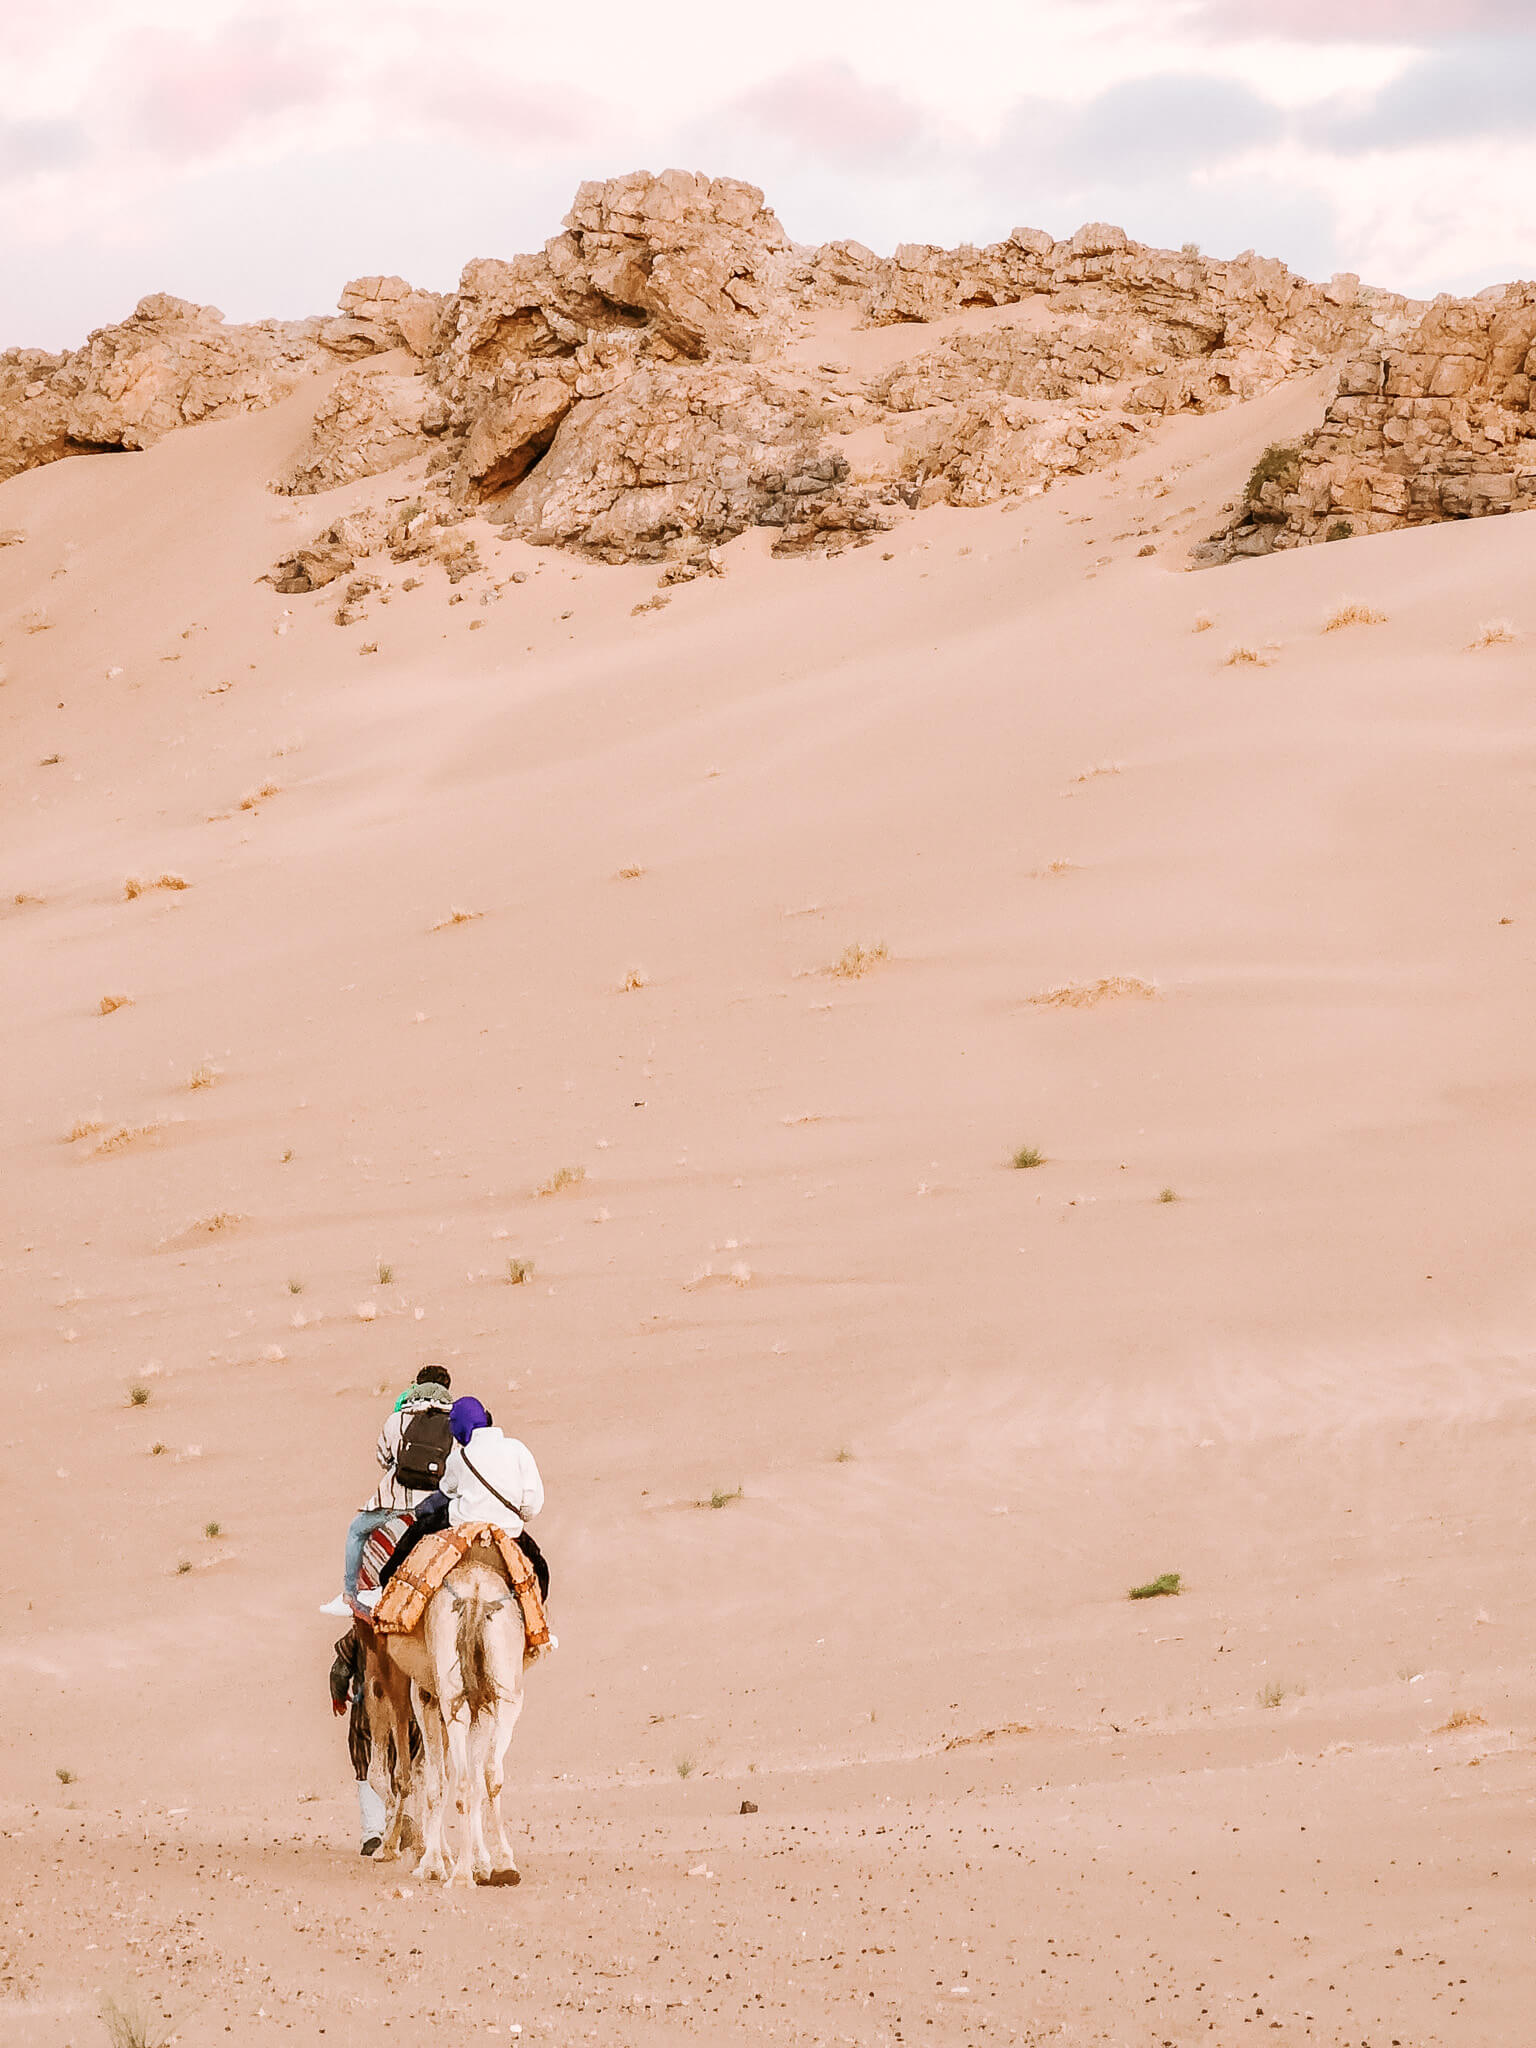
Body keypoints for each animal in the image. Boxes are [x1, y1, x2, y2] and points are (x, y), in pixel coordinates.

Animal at [364, 1540, 532, 1875]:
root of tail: (476, 1596)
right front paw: (471, 1861)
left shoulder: (414, 1690)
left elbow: (415, 1775)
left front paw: (418, 1855)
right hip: (504, 1694)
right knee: (488, 1773)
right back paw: (501, 1864)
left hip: (445, 1692)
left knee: (449, 1775)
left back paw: (451, 1868)